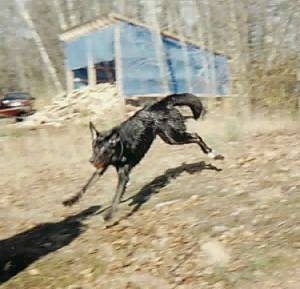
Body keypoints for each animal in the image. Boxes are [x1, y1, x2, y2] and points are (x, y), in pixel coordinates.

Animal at [62, 93, 223, 219]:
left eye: (104, 150)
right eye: (94, 148)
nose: (91, 160)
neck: (120, 146)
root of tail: (160, 103)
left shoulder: (123, 175)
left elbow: (116, 197)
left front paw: (109, 215)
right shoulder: (101, 169)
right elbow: (86, 186)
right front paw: (71, 200)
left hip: (174, 137)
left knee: (196, 136)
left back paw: (212, 154)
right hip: (169, 137)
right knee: (192, 132)